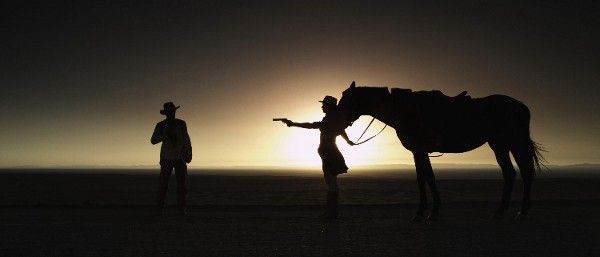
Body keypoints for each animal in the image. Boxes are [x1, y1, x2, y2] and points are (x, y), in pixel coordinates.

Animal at [338, 81, 544, 219]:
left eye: (346, 100)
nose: (338, 119)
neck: (404, 111)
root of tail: (522, 107)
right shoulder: (418, 152)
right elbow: (424, 177)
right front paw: (427, 210)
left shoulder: (420, 150)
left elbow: (426, 177)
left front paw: (428, 211)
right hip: (500, 145)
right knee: (510, 173)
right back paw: (502, 210)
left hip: (514, 143)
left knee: (525, 172)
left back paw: (521, 210)